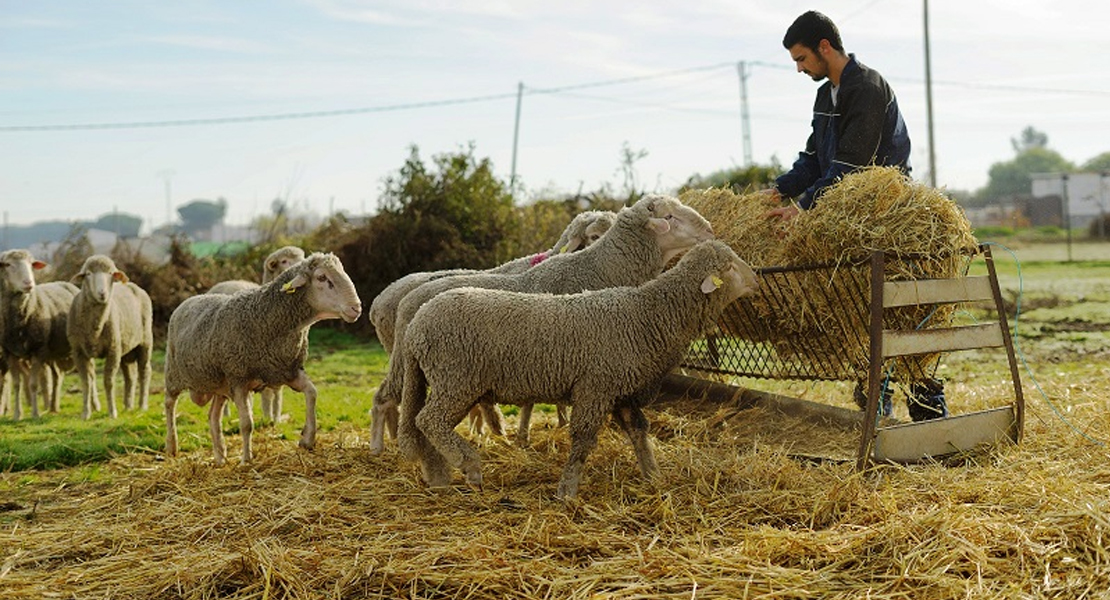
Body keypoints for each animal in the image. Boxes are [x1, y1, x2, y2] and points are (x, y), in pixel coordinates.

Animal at [0, 250, 78, 419]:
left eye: (31, 264)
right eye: (8, 264)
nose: (29, 283)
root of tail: (66, 283)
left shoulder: (38, 350)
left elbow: (33, 384)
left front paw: (35, 414)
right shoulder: (10, 353)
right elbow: (16, 384)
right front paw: (17, 415)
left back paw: (94, 406)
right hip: (52, 352)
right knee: (57, 376)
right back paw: (53, 407)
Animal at [66, 255, 154, 419]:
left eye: (111, 274)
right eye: (88, 274)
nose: (102, 293)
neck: (95, 328)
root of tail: (133, 285)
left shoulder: (113, 350)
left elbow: (108, 381)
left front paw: (112, 412)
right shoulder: (78, 352)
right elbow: (86, 382)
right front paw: (85, 413)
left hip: (145, 342)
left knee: (144, 371)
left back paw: (142, 406)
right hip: (126, 348)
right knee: (130, 376)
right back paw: (128, 406)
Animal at [162, 250, 361, 465]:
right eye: (322, 277)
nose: (356, 308)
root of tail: (189, 300)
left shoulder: (286, 371)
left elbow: (312, 393)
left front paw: (307, 439)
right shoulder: (239, 379)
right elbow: (246, 423)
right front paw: (246, 460)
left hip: (220, 384)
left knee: (213, 416)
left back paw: (220, 457)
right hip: (174, 373)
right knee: (169, 404)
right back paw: (172, 446)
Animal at [370, 196, 710, 454]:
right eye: (669, 216)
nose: (708, 229)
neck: (596, 268)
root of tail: (393, 298)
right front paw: (536, 432)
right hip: (418, 362)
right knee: (386, 398)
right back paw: (382, 446)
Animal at [395, 237, 759, 496]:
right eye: (730, 266)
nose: (756, 278)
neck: (649, 315)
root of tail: (416, 325)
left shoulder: (621, 391)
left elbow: (639, 432)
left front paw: (653, 476)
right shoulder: (595, 387)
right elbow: (583, 439)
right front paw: (567, 489)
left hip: (449, 382)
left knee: (423, 424)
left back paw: (439, 476)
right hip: (456, 378)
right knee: (430, 421)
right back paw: (469, 466)